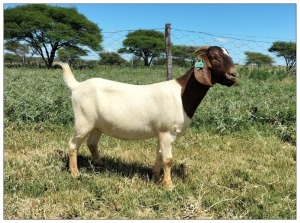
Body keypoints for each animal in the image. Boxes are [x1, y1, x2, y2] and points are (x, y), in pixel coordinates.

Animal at [55, 46, 239, 189]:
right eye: (214, 57)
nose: (233, 75)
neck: (181, 95)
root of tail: (77, 86)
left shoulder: (161, 133)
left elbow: (159, 155)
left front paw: (156, 176)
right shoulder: (167, 132)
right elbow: (167, 159)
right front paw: (168, 185)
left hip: (97, 124)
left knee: (91, 143)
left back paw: (100, 165)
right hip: (83, 121)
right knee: (72, 145)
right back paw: (75, 173)